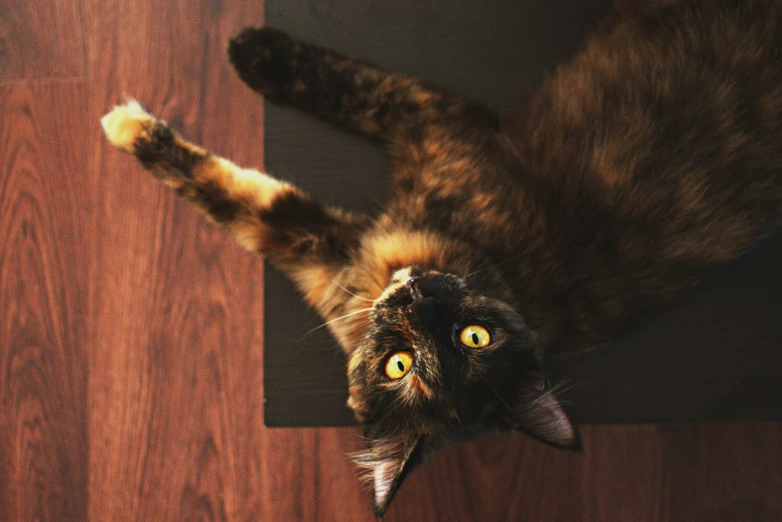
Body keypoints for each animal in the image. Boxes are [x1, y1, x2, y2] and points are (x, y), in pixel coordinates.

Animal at [101, 0, 782, 512]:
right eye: (400, 365)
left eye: (472, 339)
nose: (420, 301)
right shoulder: (315, 248)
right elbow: (227, 191)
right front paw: (132, 127)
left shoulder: (438, 124)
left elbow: (355, 89)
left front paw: (247, 54)